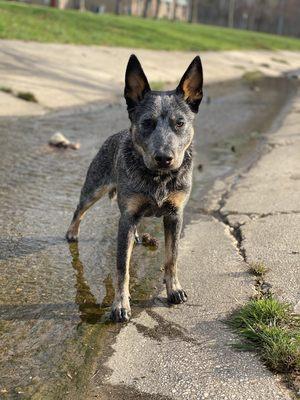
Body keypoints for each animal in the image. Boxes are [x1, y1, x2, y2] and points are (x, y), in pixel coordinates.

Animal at [66, 54, 203, 322]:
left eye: (180, 123)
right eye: (147, 122)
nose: (164, 157)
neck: (159, 179)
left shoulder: (175, 216)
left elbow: (172, 257)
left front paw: (174, 289)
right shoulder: (127, 218)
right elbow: (122, 268)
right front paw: (120, 304)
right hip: (94, 188)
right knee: (79, 209)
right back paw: (72, 232)